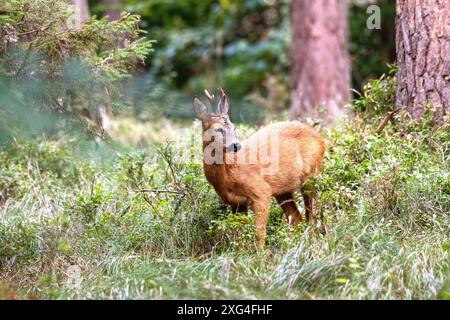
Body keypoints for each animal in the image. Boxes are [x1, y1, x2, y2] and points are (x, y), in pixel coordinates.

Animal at [192, 87, 324, 248]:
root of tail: (321, 138)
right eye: (218, 129)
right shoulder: (236, 202)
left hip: (313, 174)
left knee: (312, 216)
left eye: (234, 127)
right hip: (283, 190)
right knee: (297, 218)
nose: (236, 145)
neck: (229, 174)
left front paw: (259, 254)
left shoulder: (261, 192)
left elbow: (259, 233)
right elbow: (239, 234)